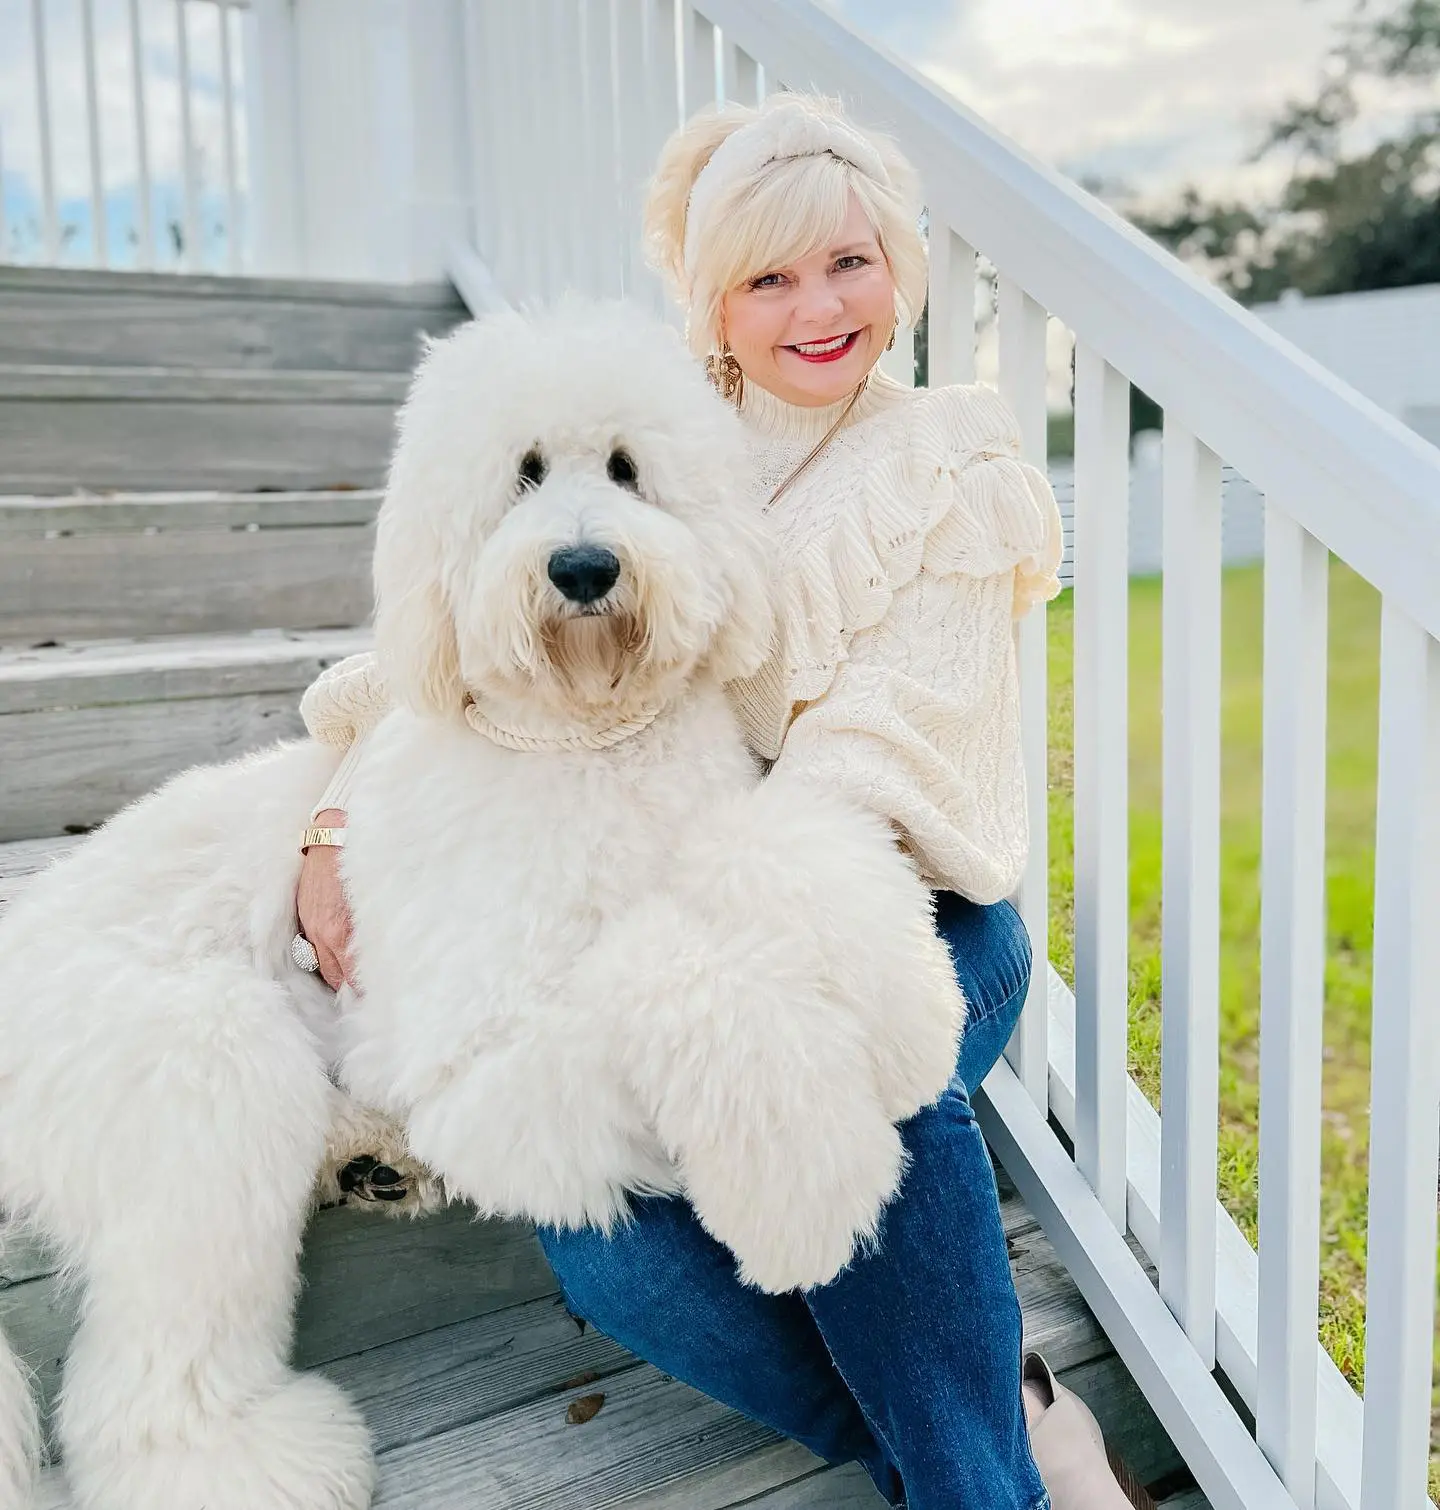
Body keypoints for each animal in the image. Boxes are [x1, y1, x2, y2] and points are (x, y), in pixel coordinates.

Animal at [5, 306, 966, 1510]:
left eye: (626, 467)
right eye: (522, 475)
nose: (585, 565)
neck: (584, 740)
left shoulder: (720, 829)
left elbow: (801, 847)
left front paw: (910, 1012)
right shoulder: (484, 1053)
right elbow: (678, 976)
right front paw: (806, 1185)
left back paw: (373, 1160)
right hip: (206, 1064)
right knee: (149, 1364)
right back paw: (249, 1461)